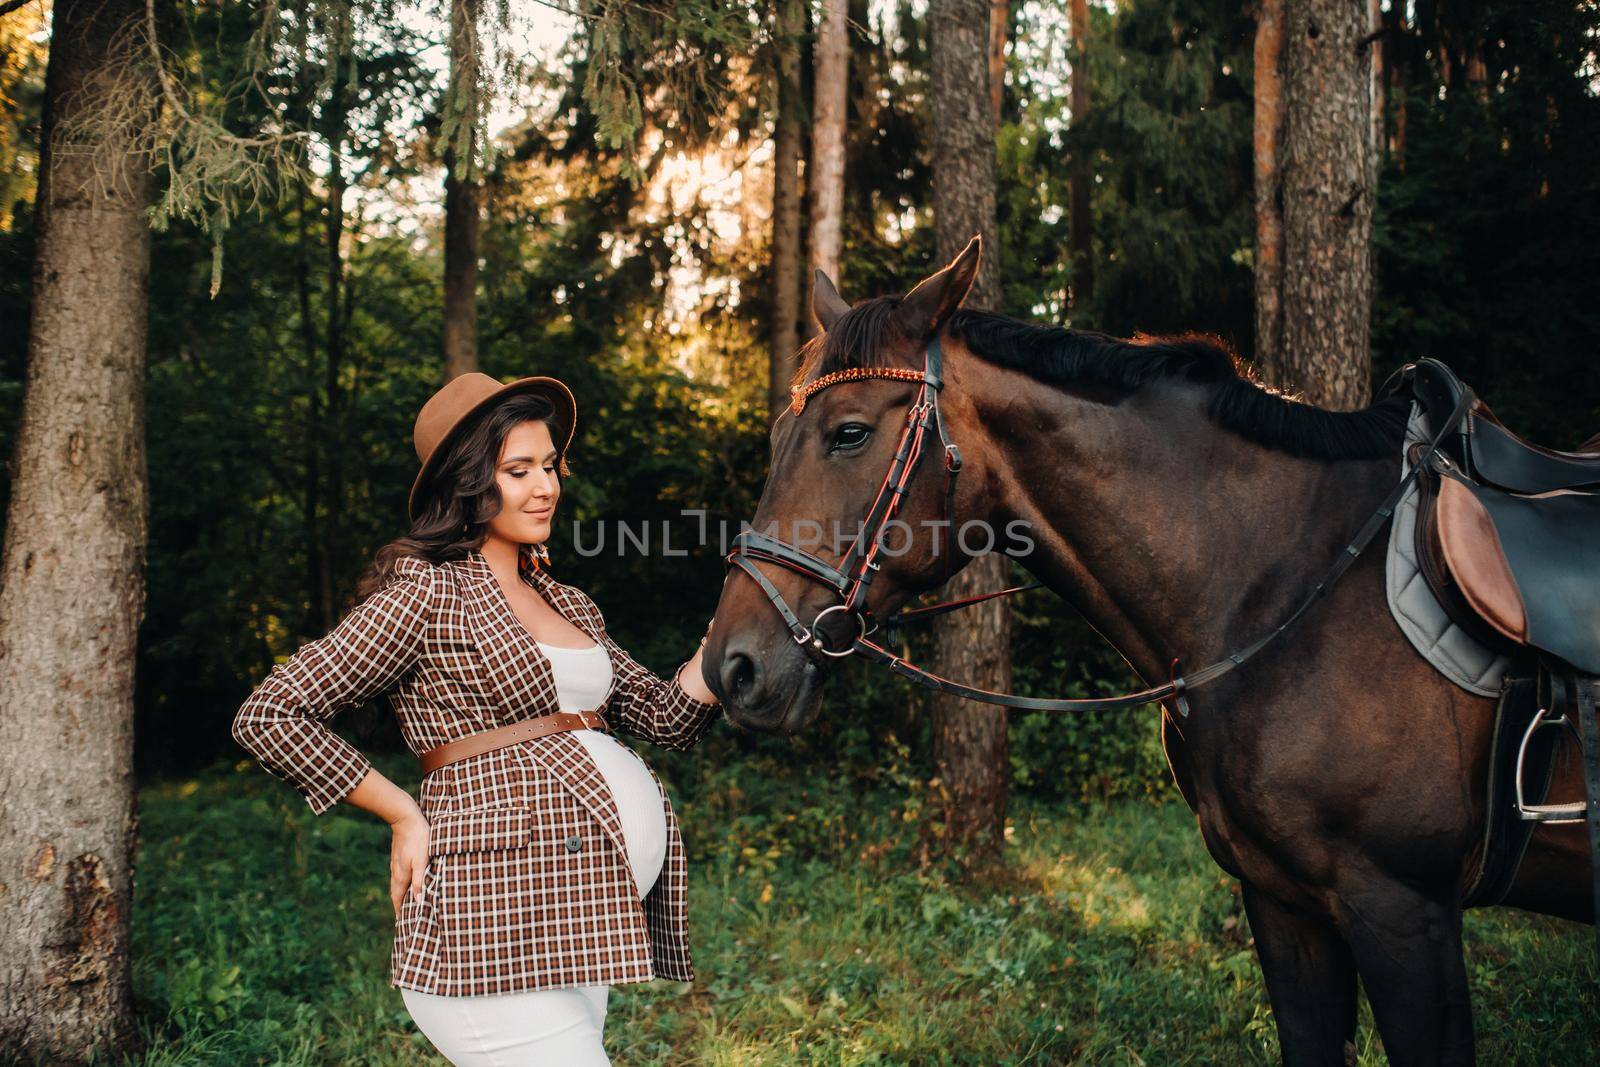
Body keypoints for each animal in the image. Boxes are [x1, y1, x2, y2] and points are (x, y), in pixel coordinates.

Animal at [697, 244, 1587, 1067]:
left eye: (848, 432)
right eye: (778, 434)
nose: (730, 667)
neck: (1288, 579)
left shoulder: (1406, 913)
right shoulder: (1284, 902)